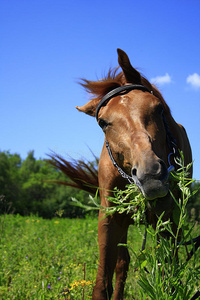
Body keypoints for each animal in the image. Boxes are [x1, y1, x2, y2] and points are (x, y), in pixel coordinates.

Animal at [50, 49, 192, 300]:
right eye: (102, 122)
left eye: (158, 108)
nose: (151, 176)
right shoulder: (110, 217)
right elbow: (104, 280)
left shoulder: (169, 218)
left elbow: (168, 270)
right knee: (122, 263)